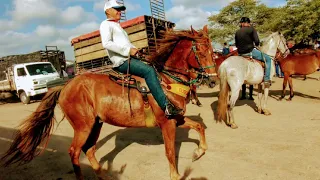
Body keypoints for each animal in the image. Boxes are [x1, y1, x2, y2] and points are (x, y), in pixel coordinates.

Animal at [1, 25, 216, 180]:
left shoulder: (177, 118)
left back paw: (103, 174)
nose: (213, 80)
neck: (166, 80)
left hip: (96, 124)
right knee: (74, 152)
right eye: (200, 50)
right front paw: (176, 175)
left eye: (212, 50)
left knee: (88, 150)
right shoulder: (167, 123)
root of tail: (65, 86)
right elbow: (170, 152)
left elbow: (198, 127)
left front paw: (199, 151)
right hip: (83, 126)